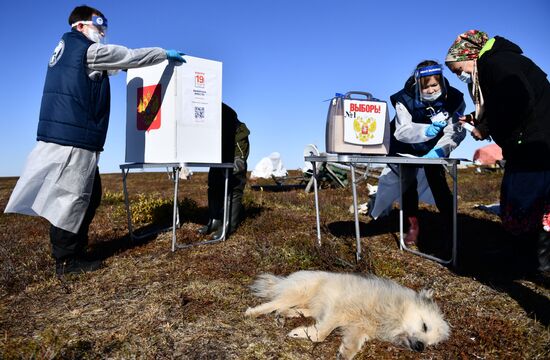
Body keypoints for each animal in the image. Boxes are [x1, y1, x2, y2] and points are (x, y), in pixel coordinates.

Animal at [247, 272, 452, 358]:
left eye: (431, 344)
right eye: (424, 326)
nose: (421, 347)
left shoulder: (358, 329)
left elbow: (353, 345)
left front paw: (343, 354)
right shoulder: (338, 311)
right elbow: (321, 334)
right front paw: (301, 334)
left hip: (309, 306)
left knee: (292, 309)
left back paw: (283, 316)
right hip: (299, 293)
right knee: (273, 303)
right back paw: (253, 312)